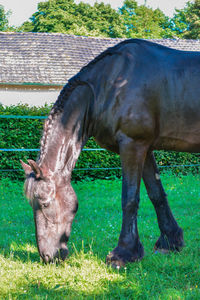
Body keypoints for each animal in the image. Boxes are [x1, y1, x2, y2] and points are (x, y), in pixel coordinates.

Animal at [20, 39, 200, 268]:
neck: (108, 85)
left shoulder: (132, 145)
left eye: (44, 202)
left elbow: (130, 199)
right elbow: (156, 194)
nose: (47, 256)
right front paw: (170, 242)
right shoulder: (146, 148)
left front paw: (124, 253)